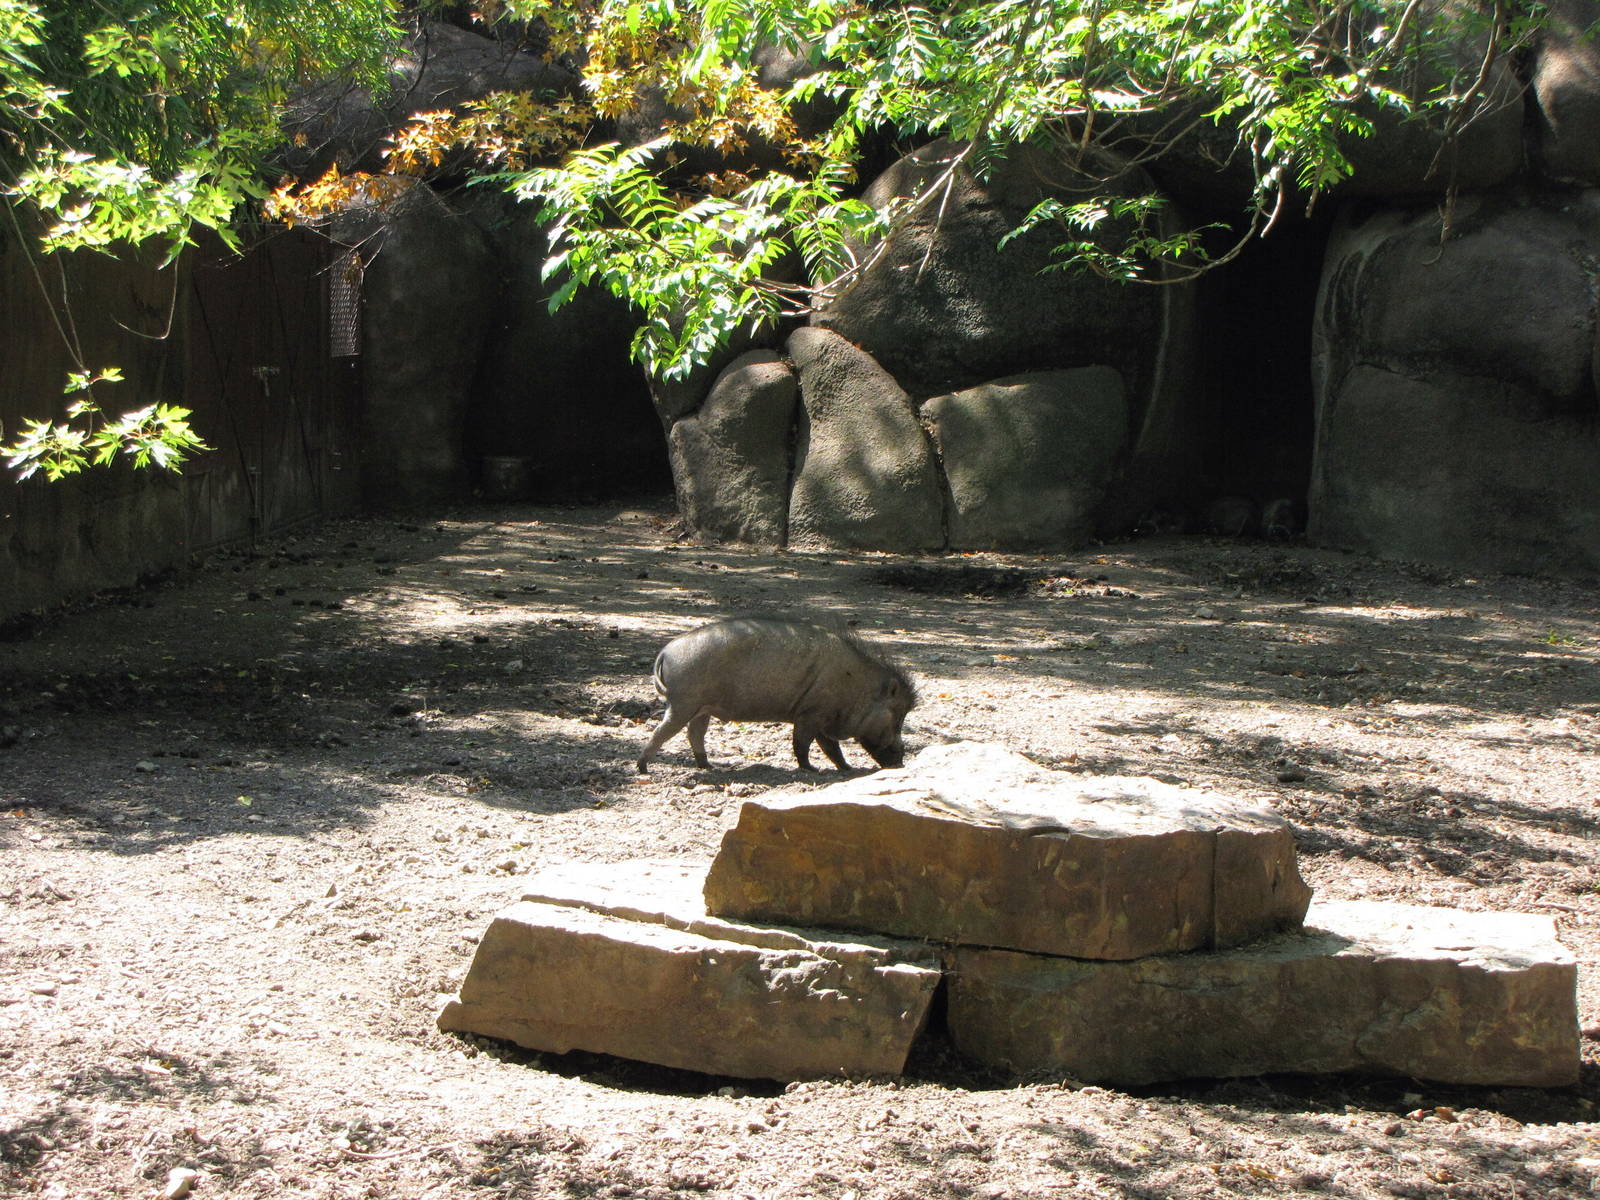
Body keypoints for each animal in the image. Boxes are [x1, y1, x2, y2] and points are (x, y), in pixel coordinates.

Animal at [635, 617, 916, 774]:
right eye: (897, 716)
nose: (901, 761)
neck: (859, 687)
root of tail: (666, 652)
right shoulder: (811, 714)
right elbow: (803, 744)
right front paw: (812, 770)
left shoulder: (822, 719)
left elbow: (830, 748)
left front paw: (847, 769)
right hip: (683, 703)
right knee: (662, 732)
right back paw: (643, 769)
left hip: (701, 708)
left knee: (695, 734)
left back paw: (708, 766)